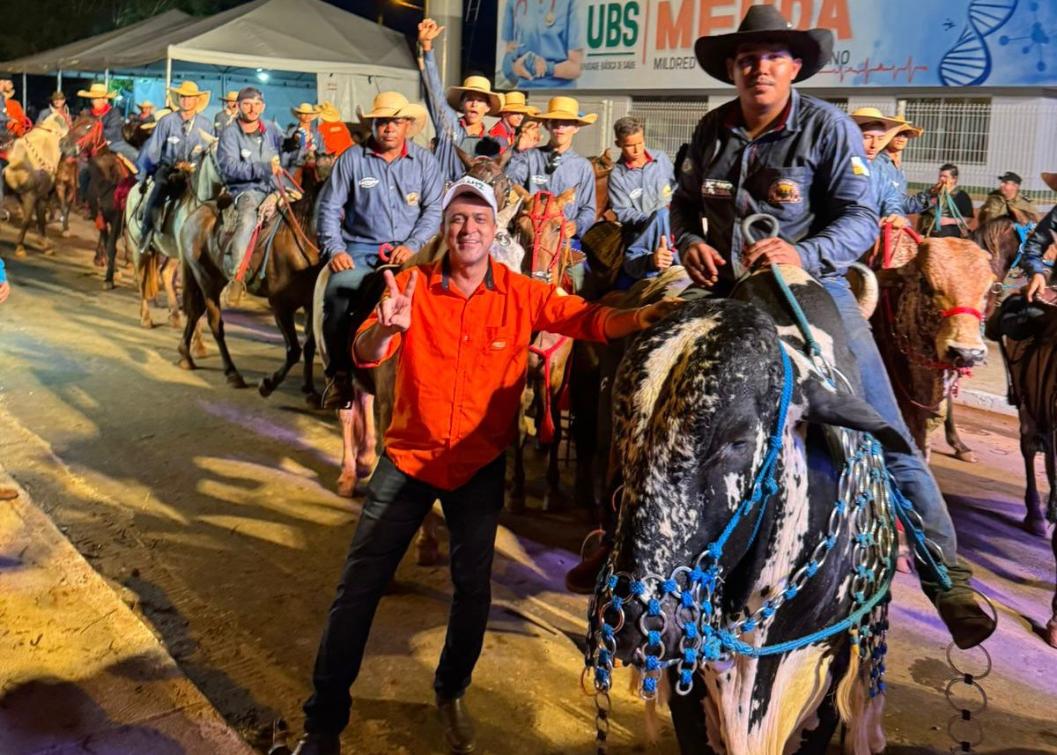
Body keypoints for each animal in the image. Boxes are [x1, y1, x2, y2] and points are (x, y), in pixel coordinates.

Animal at [1, 111, 68, 256]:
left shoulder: (37, 197)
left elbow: (39, 220)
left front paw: (46, 246)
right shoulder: (30, 196)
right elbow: (27, 220)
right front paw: (20, 247)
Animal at [177, 155, 331, 397]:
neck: (303, 237)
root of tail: (194, 214)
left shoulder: (310, 304)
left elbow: (308, 346)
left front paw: (309, 390)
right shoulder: (280, 305)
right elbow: (293, 350)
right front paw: (268, 384)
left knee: (194, 312)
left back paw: (186, 355)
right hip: (206, 279)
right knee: (215, 323)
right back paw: (232, 373)